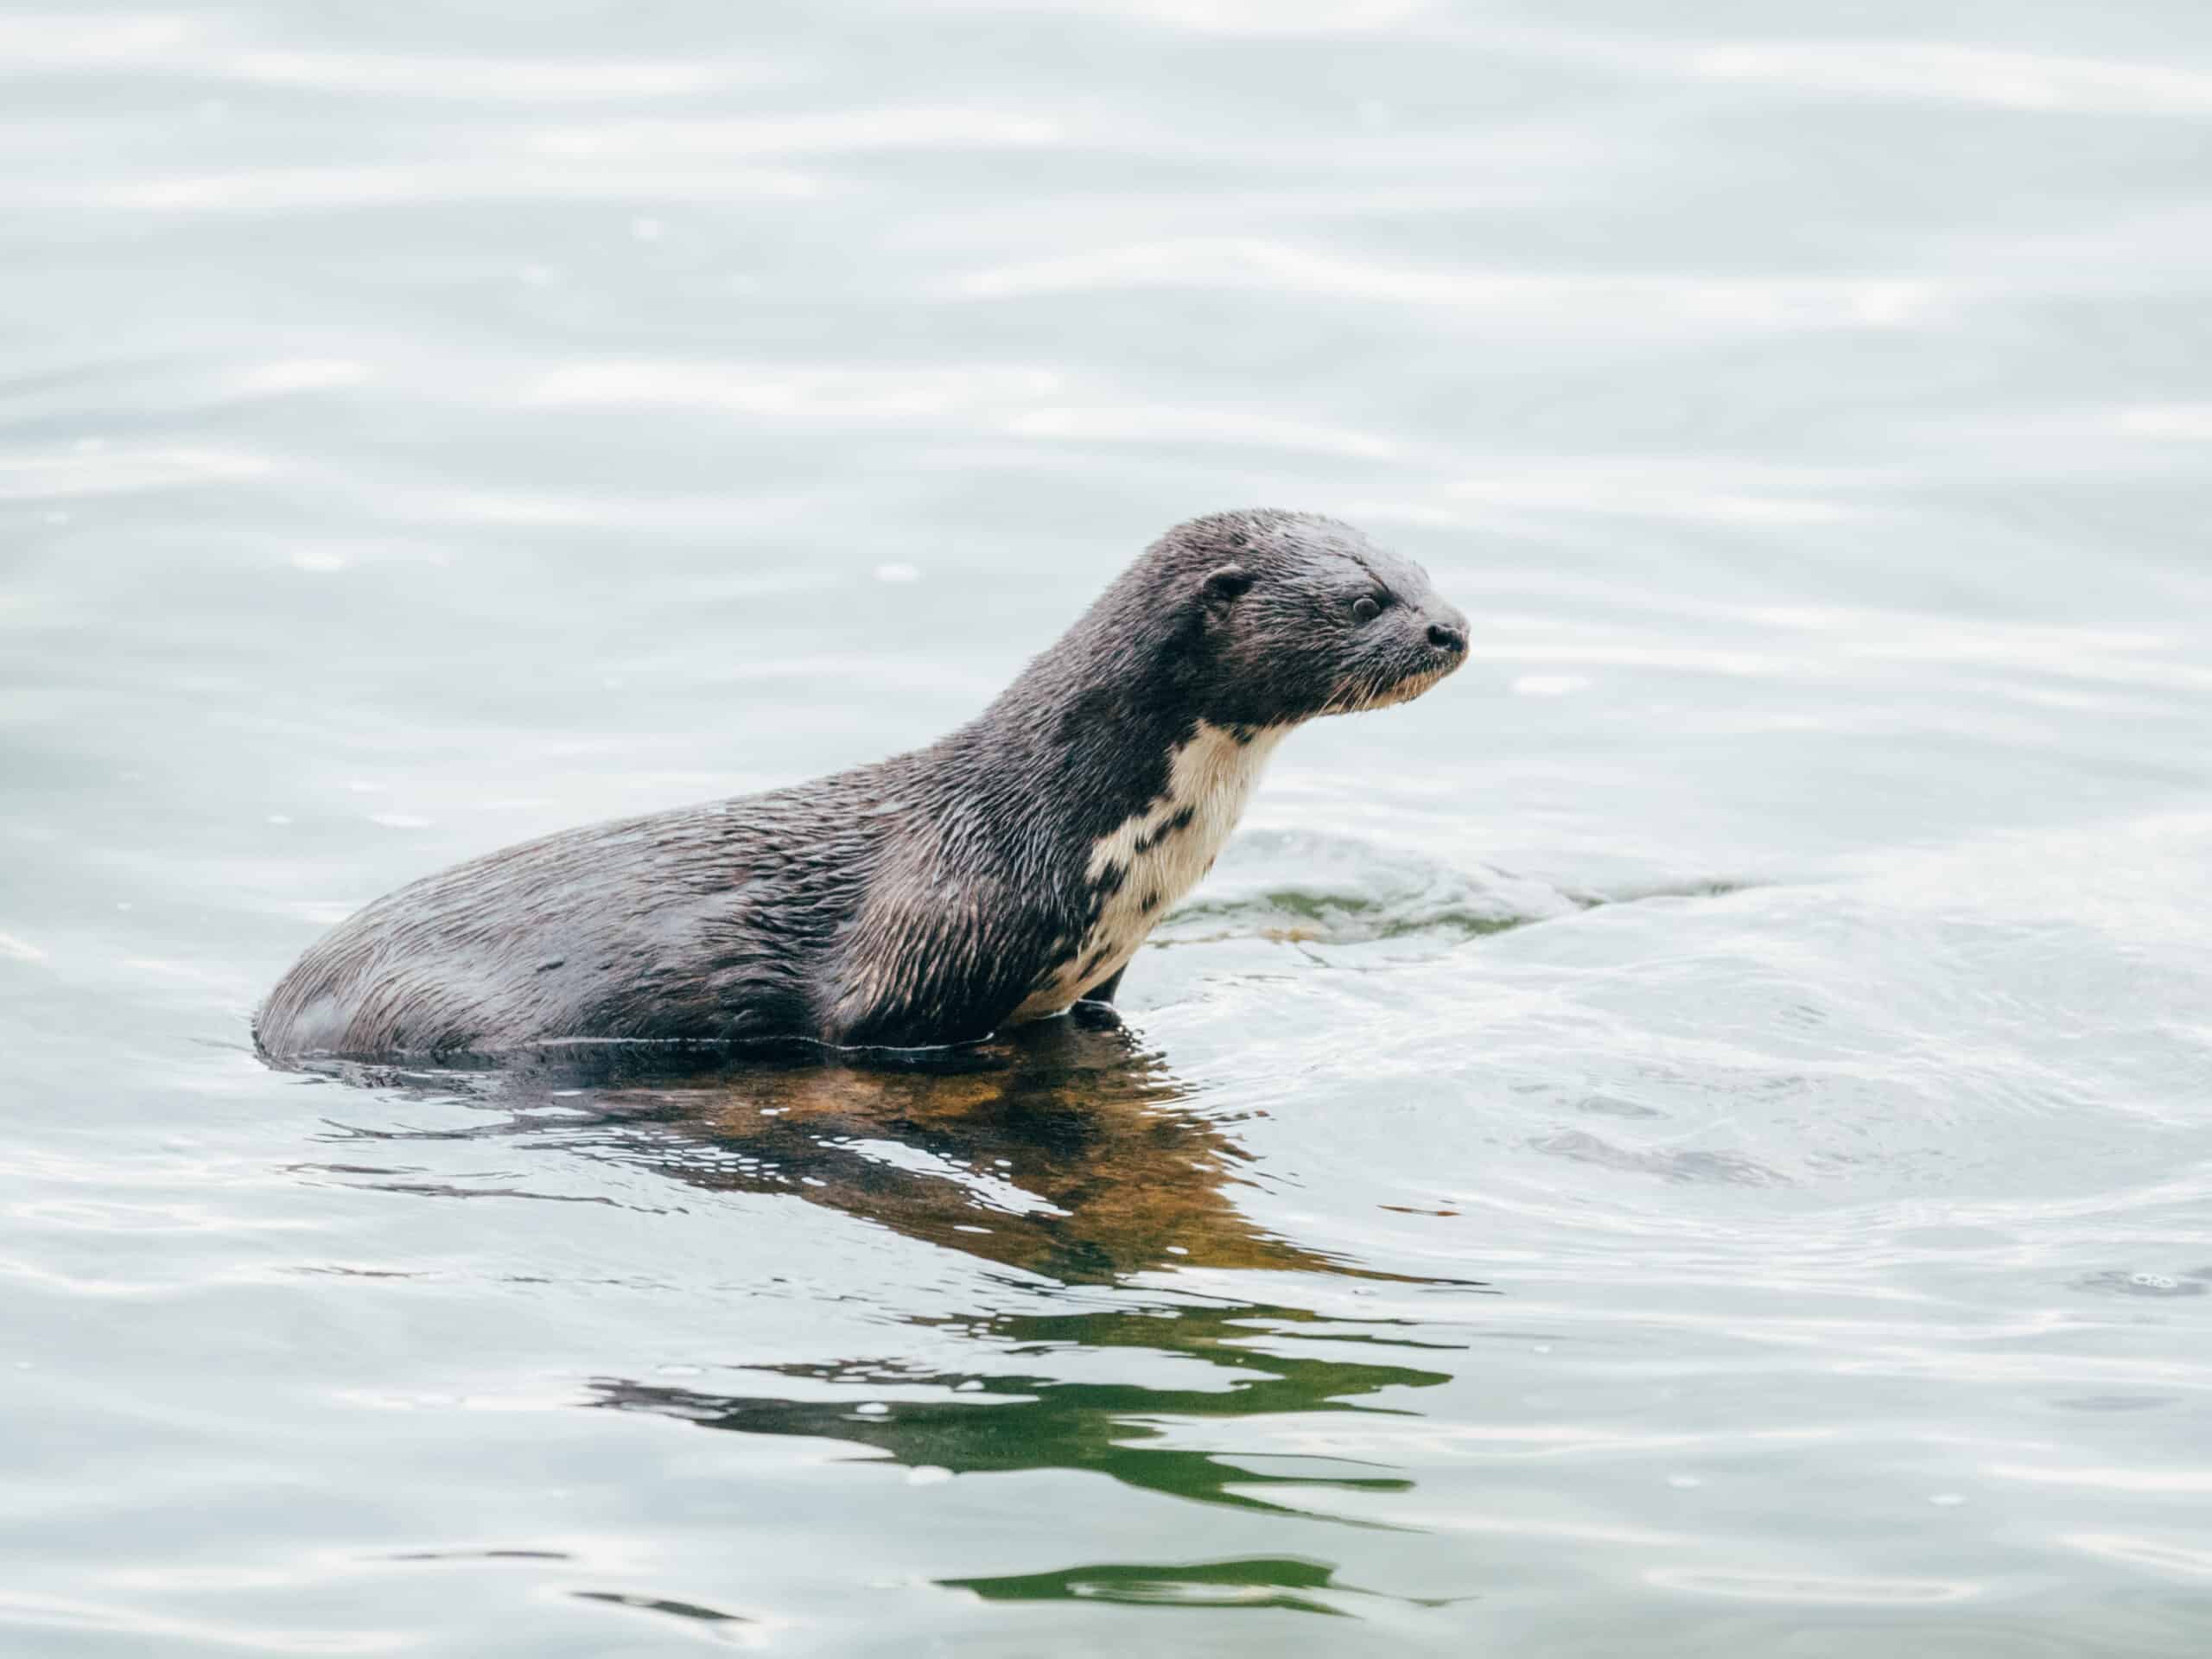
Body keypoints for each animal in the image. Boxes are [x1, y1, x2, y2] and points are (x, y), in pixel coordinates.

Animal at [256, 509, 1468, 1059]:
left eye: (1421, 568)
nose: (1452, 628)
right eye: (1364, 600)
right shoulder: (915, 965)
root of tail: (274, 1010)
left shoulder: (1099, 977)